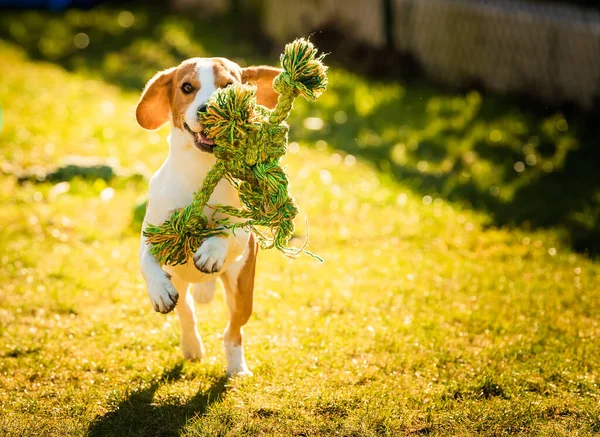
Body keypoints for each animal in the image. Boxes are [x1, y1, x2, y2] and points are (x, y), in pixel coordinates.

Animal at [137, 58, 282, 374]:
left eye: (228, 85)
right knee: (187, 312)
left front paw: (211, 251)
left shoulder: (242, 232)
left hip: (242, 289)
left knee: (233, 331)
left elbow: (225, 233)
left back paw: (237, 368)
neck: (200, 170)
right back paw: (192, 347)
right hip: (181, 285)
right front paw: (158, 290)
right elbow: (146, 261)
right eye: (186, 87)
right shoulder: (153, 233)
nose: (206, 110)